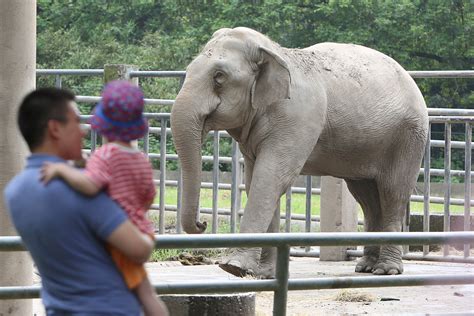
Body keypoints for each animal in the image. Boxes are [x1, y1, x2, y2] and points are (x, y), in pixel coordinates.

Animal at [170, 27, 430, 278]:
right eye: (189, 70)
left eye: (219, 76)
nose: (202, 223)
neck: (274, 52)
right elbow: (256, 181)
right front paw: (263, 275)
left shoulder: (297, 117)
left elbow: (271, 178)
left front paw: (234, 267)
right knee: (367, 198)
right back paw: (366, 267)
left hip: (408, 137)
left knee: (393, 193)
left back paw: (386, 270)